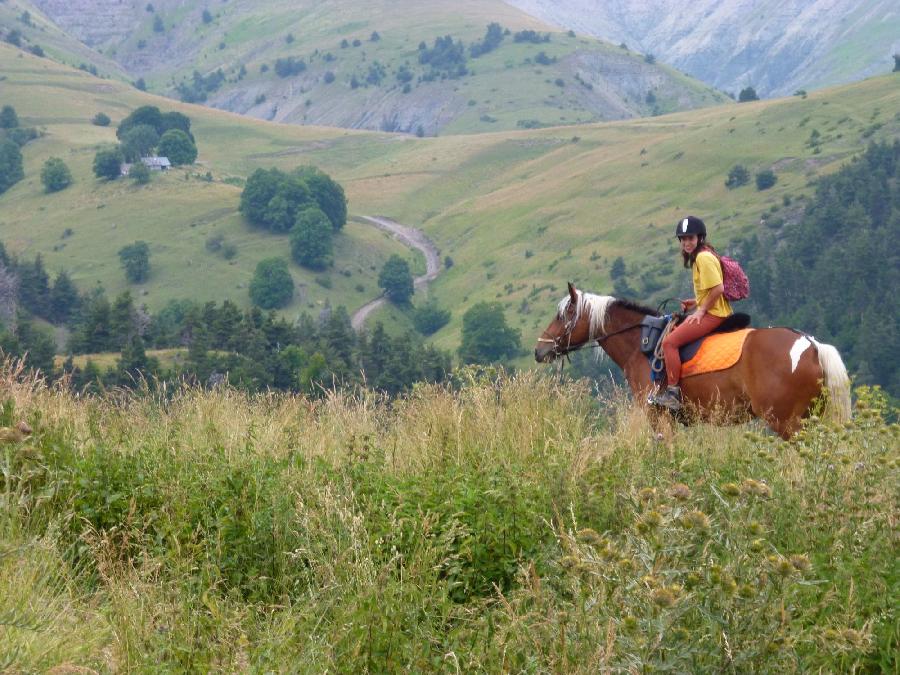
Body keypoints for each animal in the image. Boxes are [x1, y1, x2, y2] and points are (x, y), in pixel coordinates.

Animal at [536, 284, 852, 438]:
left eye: (562, 315)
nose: (540, 349)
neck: (640, 345)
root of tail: (811, 345)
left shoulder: (658, 418)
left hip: (786, 422)